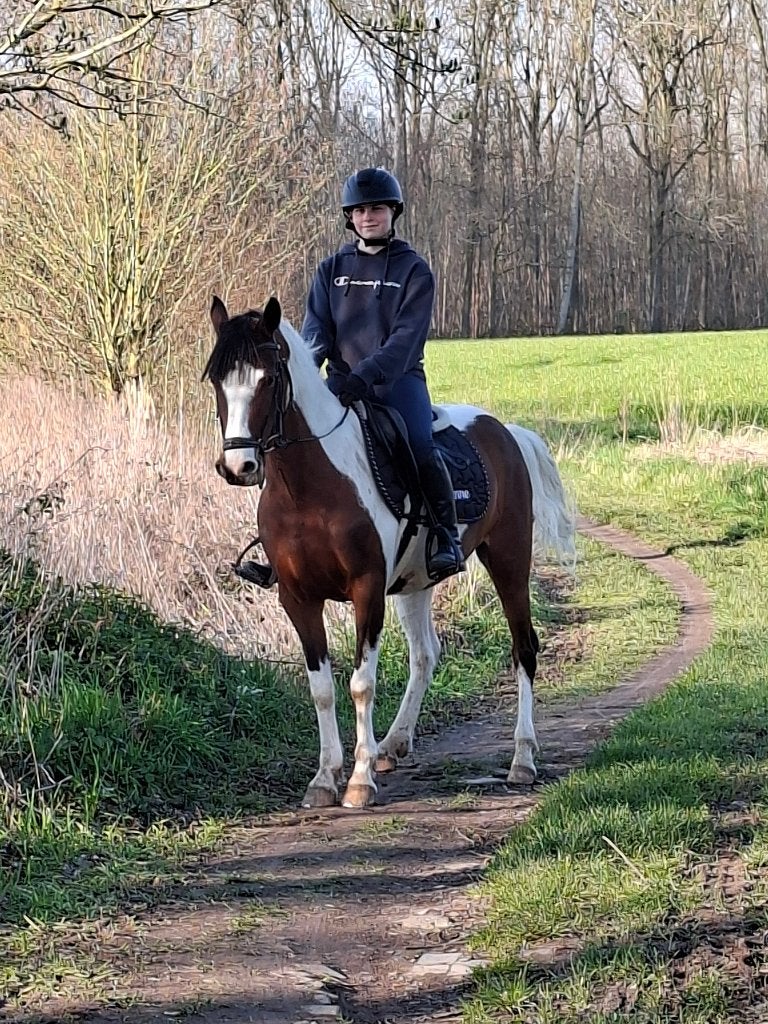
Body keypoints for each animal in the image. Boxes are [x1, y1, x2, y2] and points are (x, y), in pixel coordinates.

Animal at [203, 295, 575, 809]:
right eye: (218, 380)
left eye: (269, 379)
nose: (239, 466)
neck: (309, 489)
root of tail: (505, 431)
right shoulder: (298, 598)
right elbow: (322, 689)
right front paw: (325, 777)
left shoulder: (367, 590)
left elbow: (361, 684)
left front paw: (358, 782)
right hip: (416, 583)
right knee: (426, 654)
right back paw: (393, 743)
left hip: (509, 561)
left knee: (523, 649)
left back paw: (522, 758)